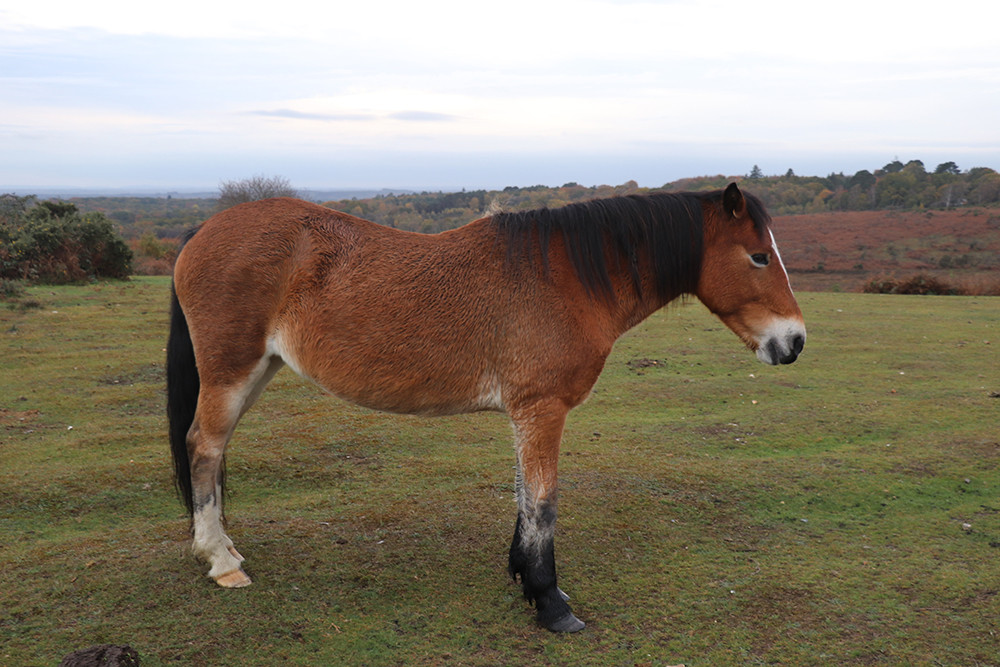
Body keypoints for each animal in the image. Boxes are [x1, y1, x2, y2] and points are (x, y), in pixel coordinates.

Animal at [167, 183, 805, 633]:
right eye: (758, 257)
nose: (794, 342)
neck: (565, 278)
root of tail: (202, 231)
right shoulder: (542, 410)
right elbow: (544, 502)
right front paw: (550, 602)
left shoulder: (526, 415)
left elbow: (525, 496)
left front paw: (528, 579)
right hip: (230, 373)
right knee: (204, 447)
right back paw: (220, 561)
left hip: (257, 371)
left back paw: (224, 546)